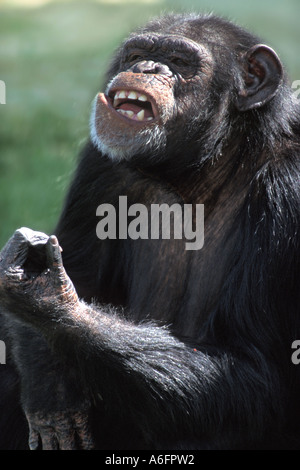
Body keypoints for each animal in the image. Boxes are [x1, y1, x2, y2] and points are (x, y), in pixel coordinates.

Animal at [0, 12, 300, 450]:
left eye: (179, 61)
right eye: (137, 53)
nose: (146, 68)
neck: (204, 168)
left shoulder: (290, 188)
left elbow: (255, 371)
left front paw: (49, 297)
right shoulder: (100, 165)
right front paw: (50, 392)